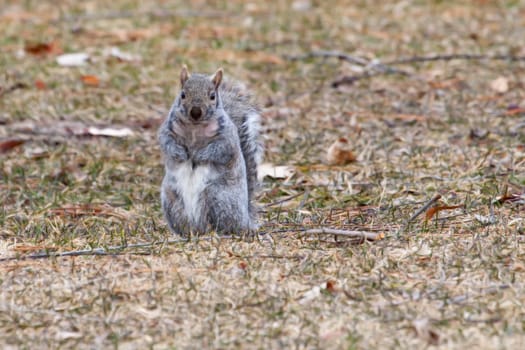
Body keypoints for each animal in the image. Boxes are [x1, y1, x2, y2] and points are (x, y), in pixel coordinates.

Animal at [157, 65, 260, 235]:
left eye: (212, 96)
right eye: (183, 94)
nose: (195, 112)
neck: (195, 127)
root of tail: (245, 220)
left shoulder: (227, 138)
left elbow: (218, 150)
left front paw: (199, 156)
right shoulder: (167, 130)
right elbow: (166, 143)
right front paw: (180, 153)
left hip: (217, 197)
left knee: (221, 224)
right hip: (172, 201)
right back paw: (187, 233)